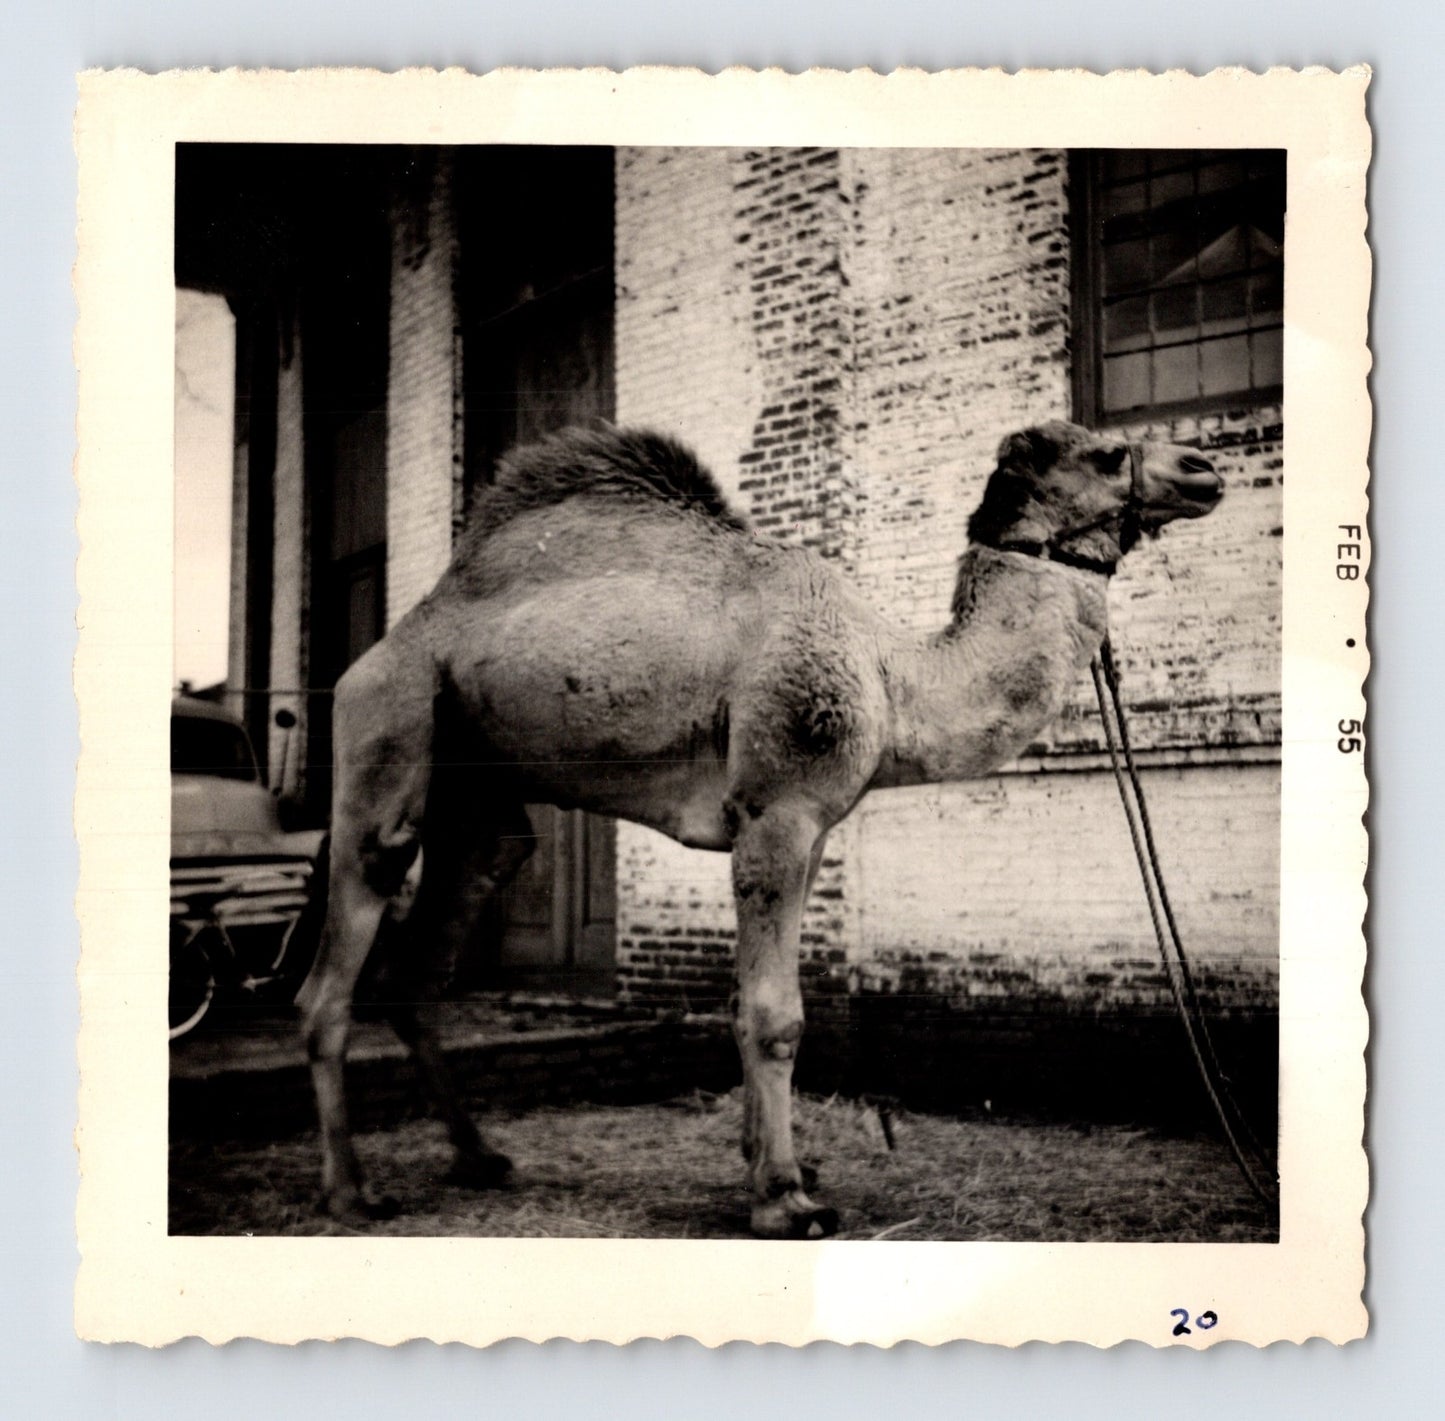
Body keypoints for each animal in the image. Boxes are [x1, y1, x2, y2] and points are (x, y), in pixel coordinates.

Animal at [297, 417, 1223, 1238]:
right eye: (1105, 455)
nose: (1204, 467)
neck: (892, 676)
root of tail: (394, 637)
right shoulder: (777, 810)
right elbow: (778, 1015)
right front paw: (786, 1201)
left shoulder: (813, 831)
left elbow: (753, 1000)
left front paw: (770, 1167)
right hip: (389, 723)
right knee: (337, 956)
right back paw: (351, 1192)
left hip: (478, 798)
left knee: (428, 955)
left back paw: (479, 1156)